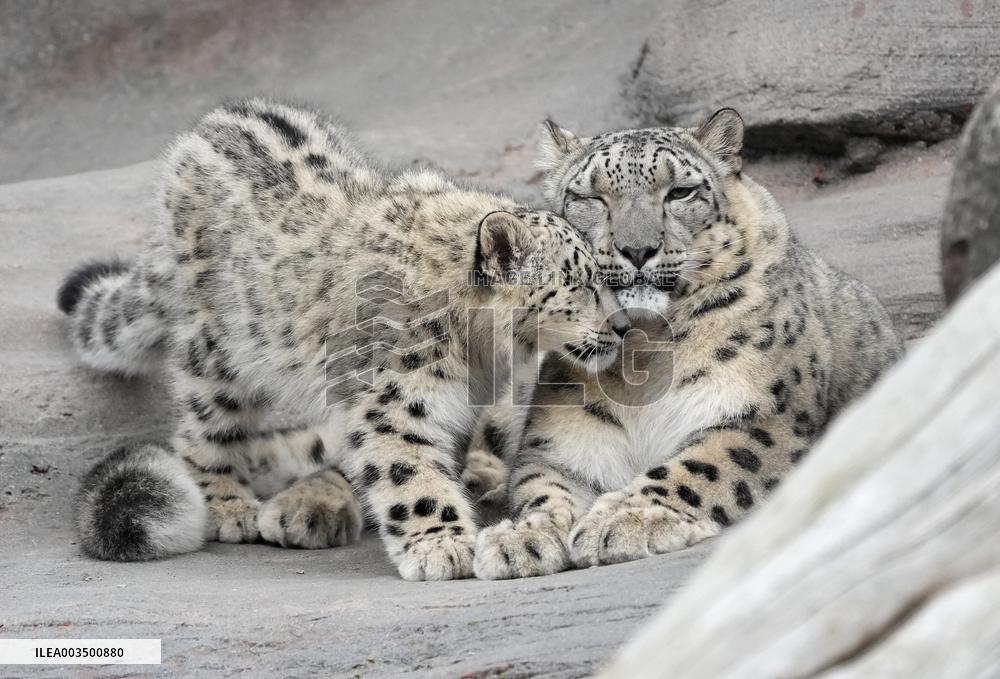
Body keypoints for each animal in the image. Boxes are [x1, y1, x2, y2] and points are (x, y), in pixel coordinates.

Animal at [59, 98, 629, 581]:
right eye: (581, 283)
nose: (624, 326)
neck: (483, 352)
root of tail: (196, 138)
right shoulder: (395, 397)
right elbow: (410, 473)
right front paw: (442, 546)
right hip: (217, 350)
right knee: (205, 424)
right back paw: (228, 504)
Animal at [472, 108, 904, 579]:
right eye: (592, 197)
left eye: (680, 192)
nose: (637, 249)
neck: (644, 357)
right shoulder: (564, 440)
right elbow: (544, 487)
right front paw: (523, 536)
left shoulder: (760, 417)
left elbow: (696, 468)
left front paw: (622, 519)